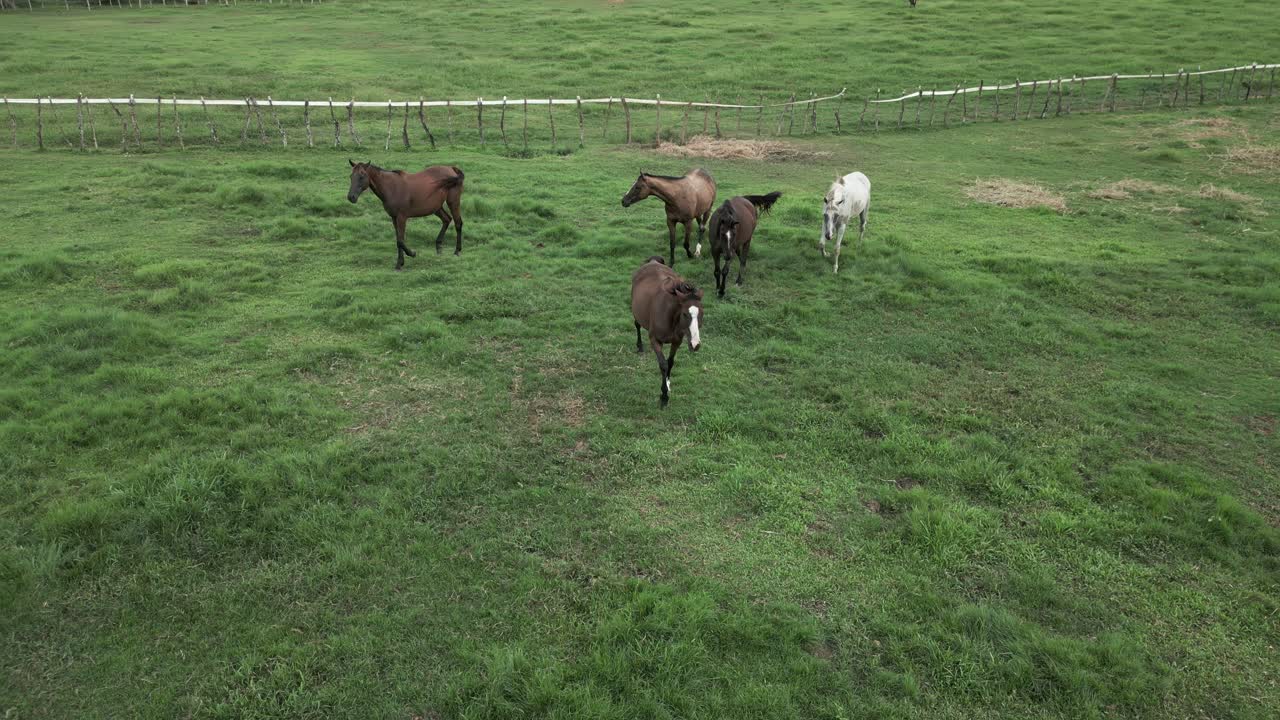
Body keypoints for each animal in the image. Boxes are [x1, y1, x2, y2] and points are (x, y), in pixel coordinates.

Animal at [630, 256, 704, 407]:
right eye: (685, 314)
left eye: (702, 314)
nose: (695, 344)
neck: (671, 318)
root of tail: (653, 261)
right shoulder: (655, 340)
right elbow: (663, 365)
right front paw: (664, 396)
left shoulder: (677, 341)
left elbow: (670, 362)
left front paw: (668, 383)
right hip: (637, 313)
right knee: (637, 325)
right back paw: (639, 346)